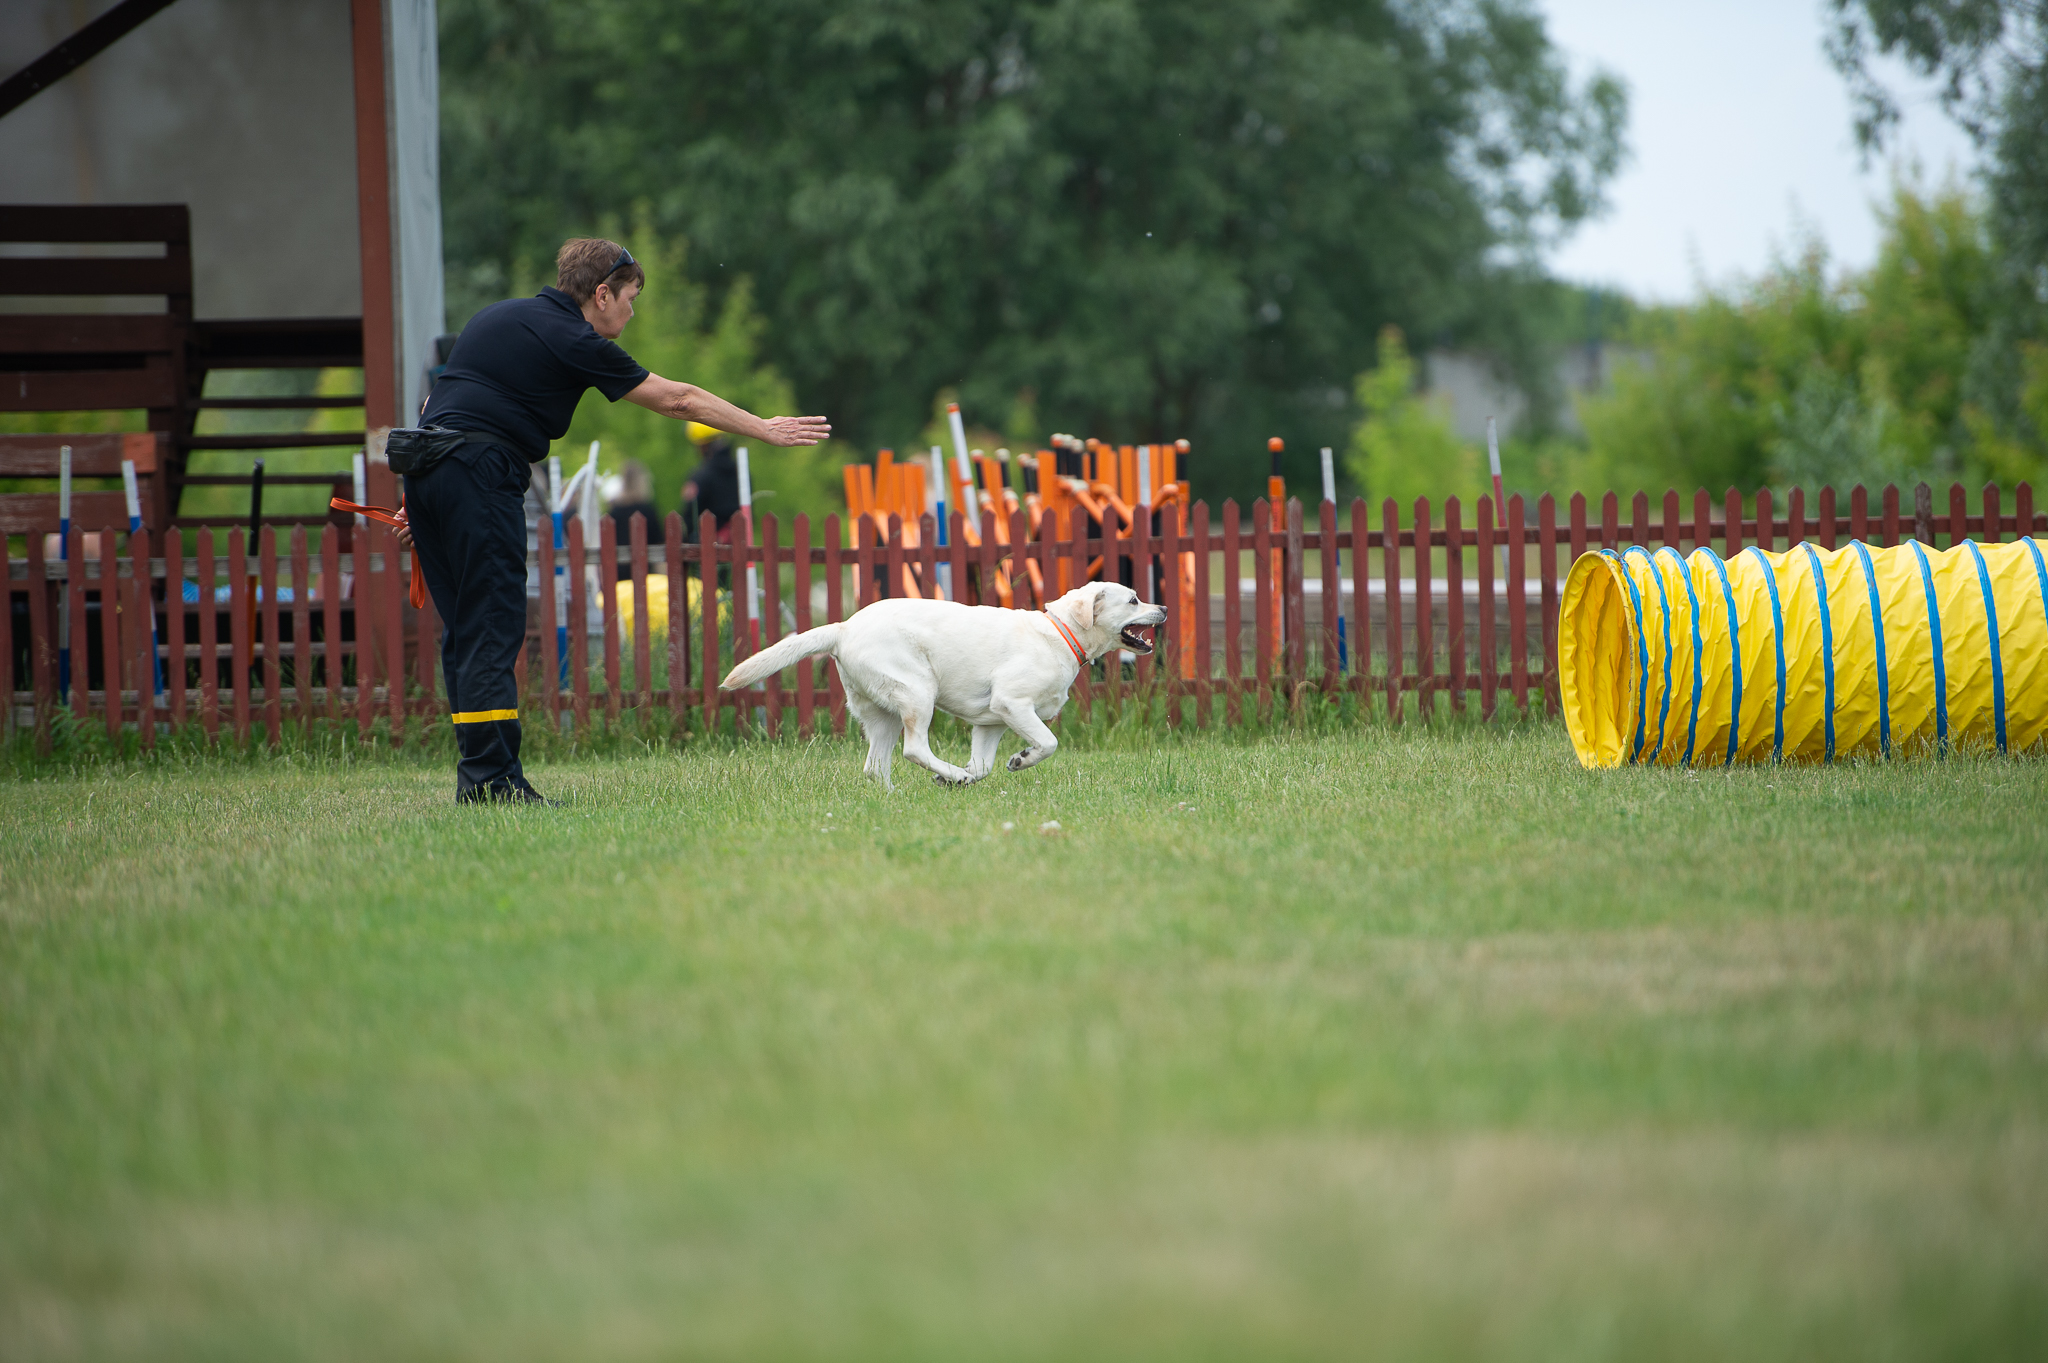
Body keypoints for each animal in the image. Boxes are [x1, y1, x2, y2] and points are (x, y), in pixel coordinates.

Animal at [720, 581, 1171, 789]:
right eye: (1133, 600)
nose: (1164, 607)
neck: (1062, 634)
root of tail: (843, 627)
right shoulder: (1013, 705)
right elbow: (1048, 742)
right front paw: (1020, 759)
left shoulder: (990, 723)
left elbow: (984, 765)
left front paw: (968, 775)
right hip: (918, 693)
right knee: (914, 749)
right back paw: (952, 775)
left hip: (881, 713)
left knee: (875, 765)